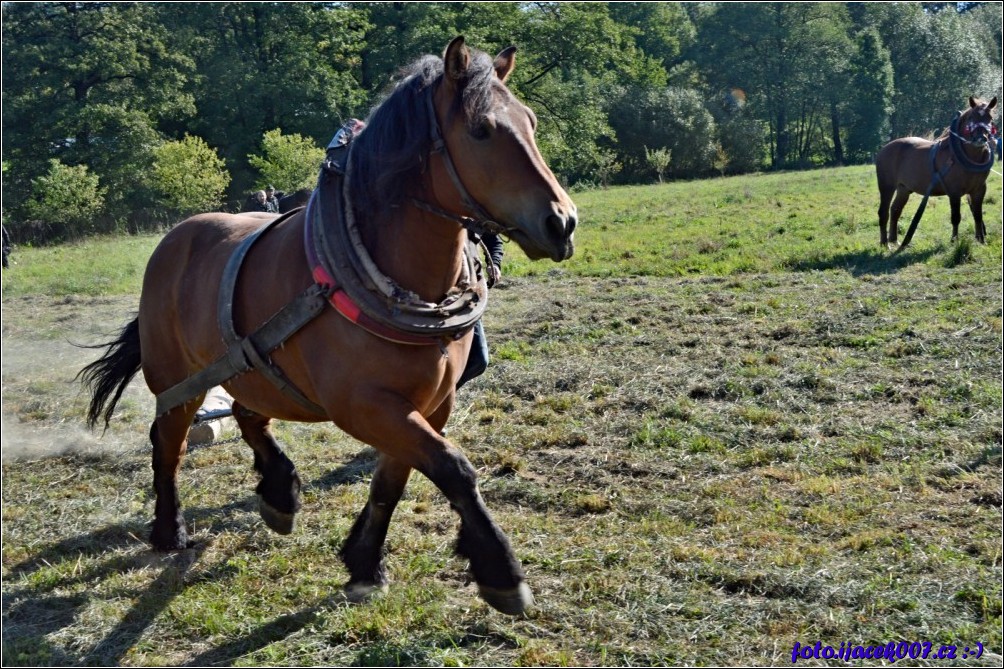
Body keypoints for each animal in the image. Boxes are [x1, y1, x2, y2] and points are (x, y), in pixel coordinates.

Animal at [77, 35, 578, 610]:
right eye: (481, 130)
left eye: (531, 121)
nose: (562, 223)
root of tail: (174, 240)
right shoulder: (364, 405)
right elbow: (453, 468)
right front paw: (499, 568)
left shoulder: (431, 401)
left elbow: (393, 480)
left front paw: (363, 561)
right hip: (177, 380)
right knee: (168, 445)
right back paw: (168, 529)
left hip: (250, 364)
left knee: (249, 414)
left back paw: (278, 492)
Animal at [871, 94, 995, 249]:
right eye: (972, 117)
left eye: (990, 118)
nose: (980, 138)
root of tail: (884, 149)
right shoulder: (954, 192)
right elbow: (956, 217)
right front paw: (954, 241)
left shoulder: (979, 190)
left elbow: (978, 215)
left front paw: (981, 241)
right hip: (887, 186)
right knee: (883, 212)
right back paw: (884, 244)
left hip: (903, 189)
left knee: (895, 210)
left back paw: (895, 240)